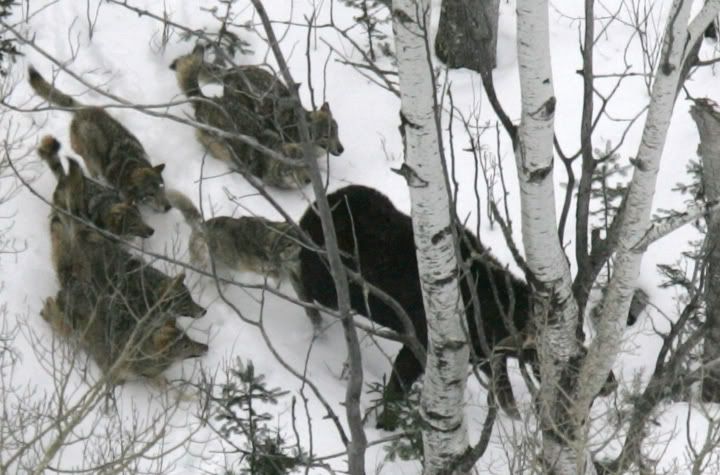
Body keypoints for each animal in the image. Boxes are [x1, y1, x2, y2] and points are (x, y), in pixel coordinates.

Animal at [28, 66, 172, 212]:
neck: (131, 163)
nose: (168, 207)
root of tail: (81, 109)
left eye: (162, 188)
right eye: (150, 194)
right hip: (89, 153)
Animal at [169, 188, 320, 330]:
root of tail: (199, 225)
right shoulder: (261, 268)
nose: (309, 246)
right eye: (289, 245)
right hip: (204, 259)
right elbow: (276, 277)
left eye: (300, 238)